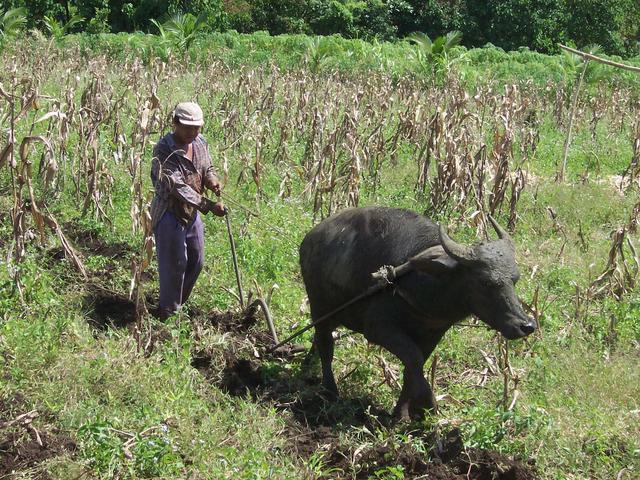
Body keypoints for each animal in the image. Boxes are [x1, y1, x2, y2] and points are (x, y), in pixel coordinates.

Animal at [300, 206, 536, 420]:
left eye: (515, 279)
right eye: (486, 282)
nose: (527, 325)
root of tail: (311, 238)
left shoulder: (433, 334)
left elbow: (414, 366)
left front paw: (404, 412)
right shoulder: (378, 328)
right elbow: (413, 359)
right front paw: (427, 404)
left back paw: (307, 364)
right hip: (319, 306)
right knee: (326, 346)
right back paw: (330, 389)